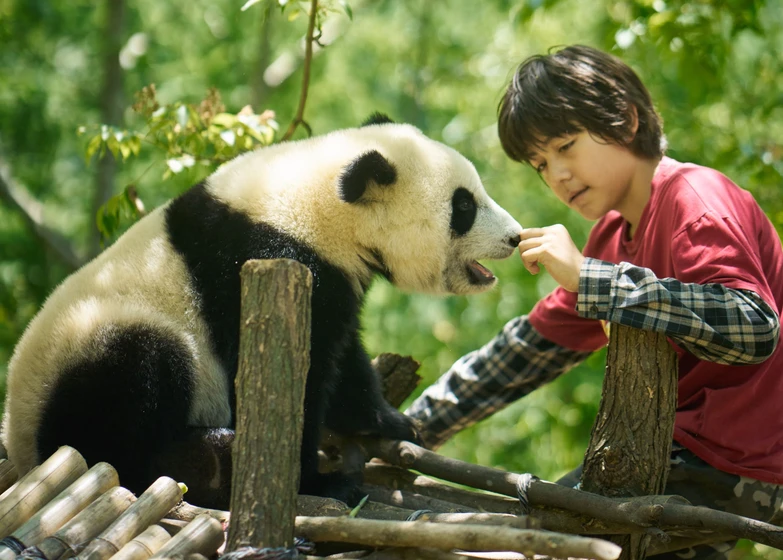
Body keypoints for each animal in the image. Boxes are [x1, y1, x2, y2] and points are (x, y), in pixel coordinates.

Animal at [1, 113, 522, 509]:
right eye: (463, 206)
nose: (515, 237)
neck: (319, 205)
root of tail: (22, 454)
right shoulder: (265, 261)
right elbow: (290, 378)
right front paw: (318, 481)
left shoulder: (331, 277)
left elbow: (342, 360)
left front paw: (391, 421)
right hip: (93, 349)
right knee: (125, 395)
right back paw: (205, 461)